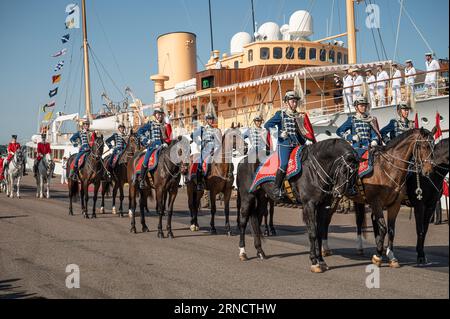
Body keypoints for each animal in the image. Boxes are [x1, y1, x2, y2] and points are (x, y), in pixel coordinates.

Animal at [236, 139, 358, 274]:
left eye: (356, 172)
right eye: (344, 170)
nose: (344, 192)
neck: (315, 170)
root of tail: (243, 161)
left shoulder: (322, 206)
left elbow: (320, 233)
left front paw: (321, 261)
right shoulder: (309, 205)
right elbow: (313, 233)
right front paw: (314, 261)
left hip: (262, 198)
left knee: (256, 221)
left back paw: (260, 251)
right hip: (248, 197)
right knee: (243, 222)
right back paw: (242, 252)